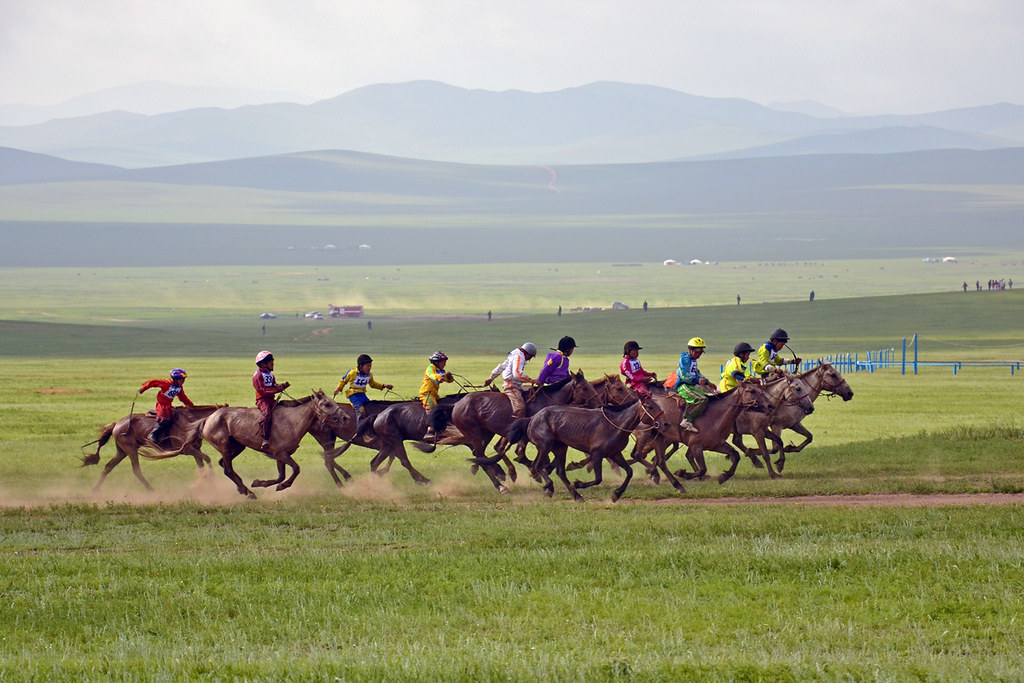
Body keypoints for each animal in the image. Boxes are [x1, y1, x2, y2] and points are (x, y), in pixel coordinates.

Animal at [79, 403, 224, 493]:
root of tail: (116, 424)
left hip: (122, 451)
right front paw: (212, 481)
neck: (191, 421)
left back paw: (95, 489)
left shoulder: (195, 450)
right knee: (136, 470)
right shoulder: (187, 449)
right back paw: (151, 489)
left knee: (108, 466)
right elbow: (208, 459)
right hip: (131, 450)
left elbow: (202, 466)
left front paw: (207, 485)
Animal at [147, 393, 348, 499]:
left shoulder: (279, 455)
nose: (345, 417)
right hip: (225, 446)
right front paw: (281, 486)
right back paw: (248, 492)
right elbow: (295, 470)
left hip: (237, 447)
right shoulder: (281, 453)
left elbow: (281, 474)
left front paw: (261, 483)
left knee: (223, 465)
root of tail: (208, 419)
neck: (292, 421)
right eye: (327, 404)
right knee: (227, 469)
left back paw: (244, 489)